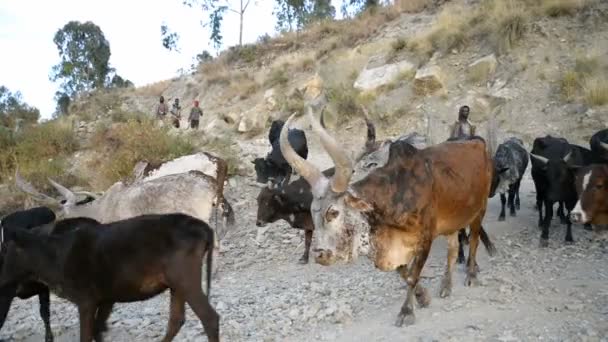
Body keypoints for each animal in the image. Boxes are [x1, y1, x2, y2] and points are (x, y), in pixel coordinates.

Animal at [278, 108, 496, 328]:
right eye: (313, 212)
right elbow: (404, 273)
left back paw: (471, 275)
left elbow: (412, 276)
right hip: (451, 221)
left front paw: (406, 311)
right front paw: (423, 298)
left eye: (333, 212)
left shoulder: (425, 239)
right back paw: (446, 285)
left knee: (474, 241)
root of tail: (478, 144)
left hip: (480, 209)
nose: (320, 254)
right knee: (452, 249)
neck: (398, 192)